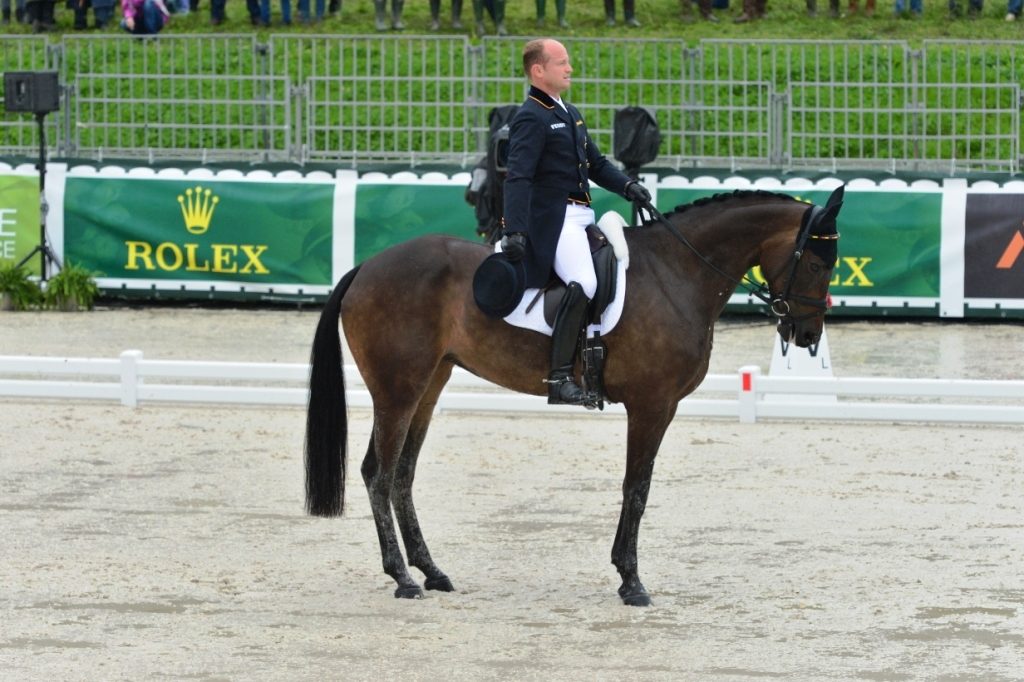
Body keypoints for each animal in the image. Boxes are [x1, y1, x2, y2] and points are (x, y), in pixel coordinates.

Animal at [301, 186, 839, 606]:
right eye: (815, 262)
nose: (809, 335)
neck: (678, 273)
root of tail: (366, 267)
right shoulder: (652, 405)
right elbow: (636, 489)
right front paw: (631, 581)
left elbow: (637, 488)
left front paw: (626, 575)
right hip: (398, 390)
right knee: (379, 474)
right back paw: (403, 578)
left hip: (429, 386)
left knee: (402, 476)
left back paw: (431, 572)